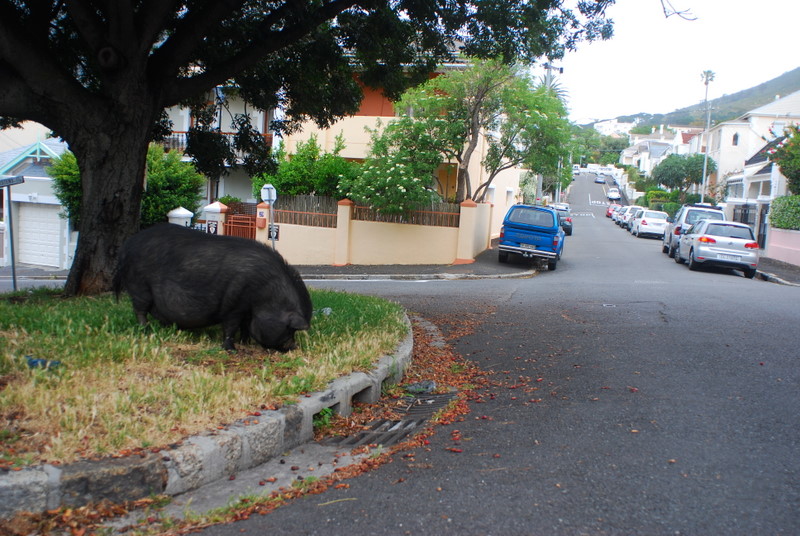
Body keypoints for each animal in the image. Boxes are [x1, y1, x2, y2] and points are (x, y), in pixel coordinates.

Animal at [113, 223, 312, 352]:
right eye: (290, 328)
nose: (293, 346)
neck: (266, 294)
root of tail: (126, 247)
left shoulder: (247, 309)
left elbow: (245, 326)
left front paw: (246, 343)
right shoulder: (235, 304)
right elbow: (231, 326)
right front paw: (232, 350)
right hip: (139, 286)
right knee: (140, 310)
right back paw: (146, 331)